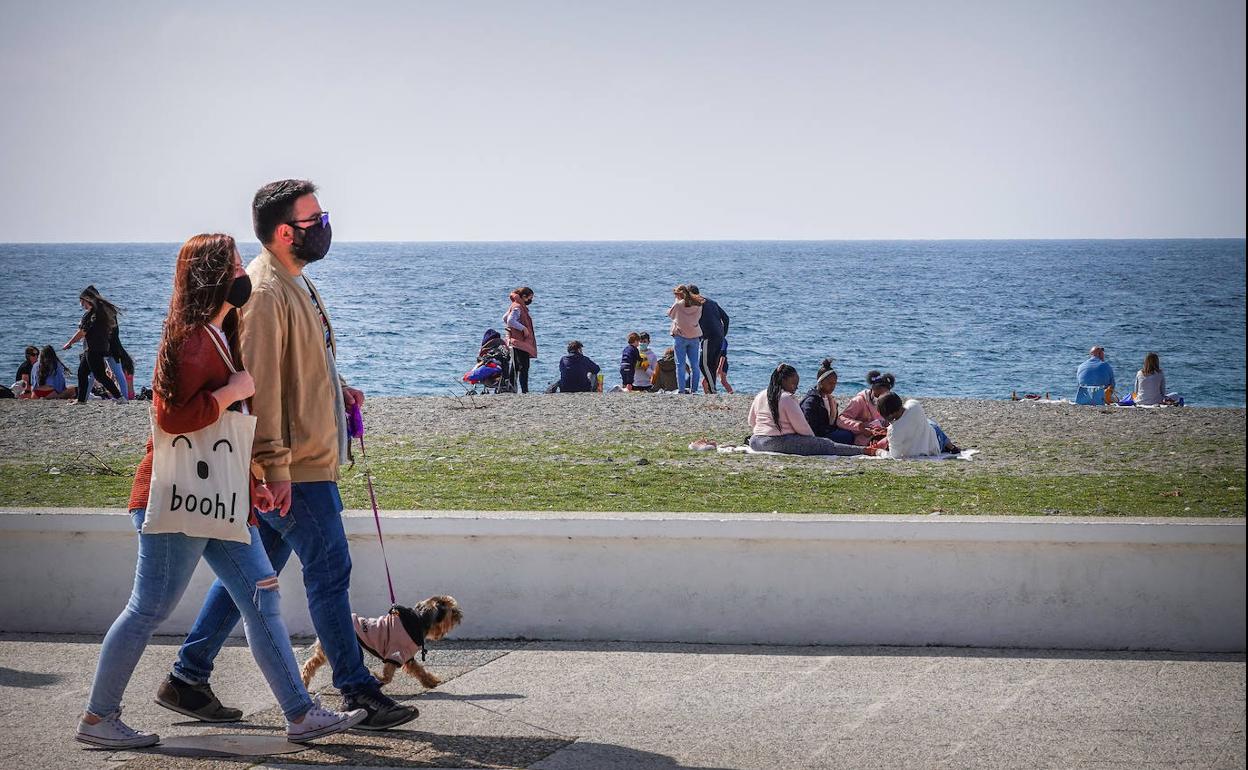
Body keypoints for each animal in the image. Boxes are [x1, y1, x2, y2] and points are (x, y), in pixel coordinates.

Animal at [302, 594, 464, 688]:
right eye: (453, 611)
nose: (460, 615)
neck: (418, 620)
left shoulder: (407, 656)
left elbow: (419, 670)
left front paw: (430, 682)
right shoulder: (395, 653)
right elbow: (388, 675)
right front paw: (378, 678)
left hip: (325, 651)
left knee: (311, 663)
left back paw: (305, 680)